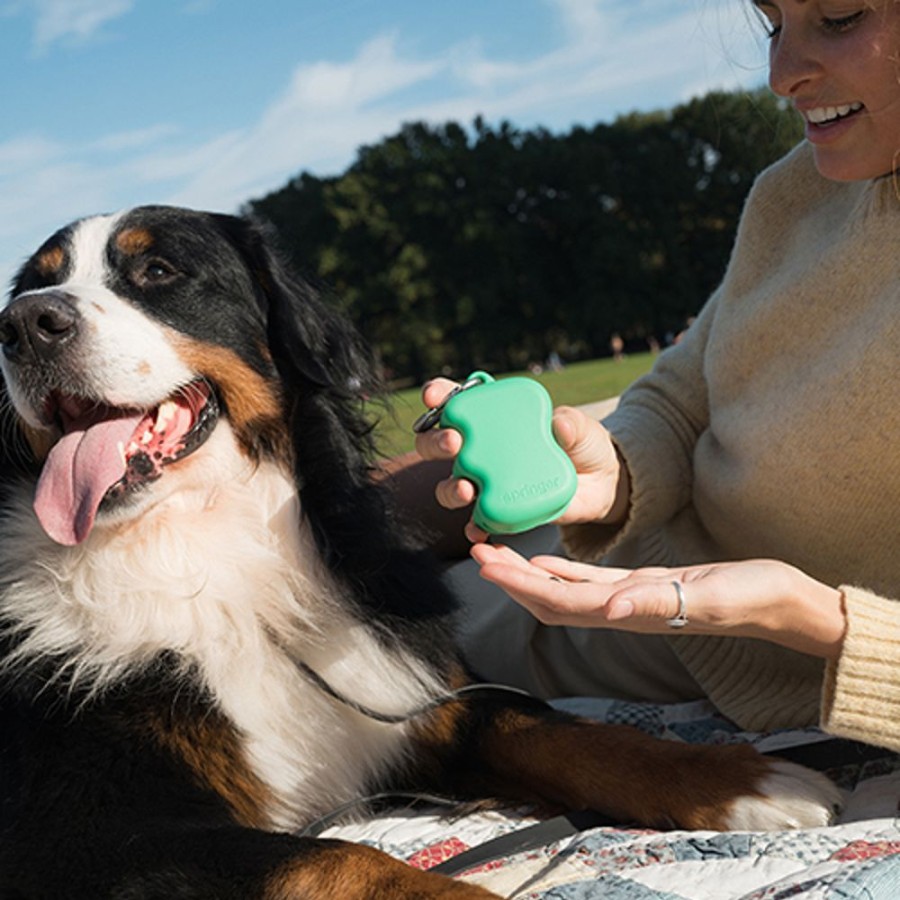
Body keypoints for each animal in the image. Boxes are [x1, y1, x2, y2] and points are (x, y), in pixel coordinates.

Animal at [0, 207, 840, 896]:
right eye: (35, 285)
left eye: (158, 272)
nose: (24, 324)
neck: (212, 561)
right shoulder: (82, 836)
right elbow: (343, 861)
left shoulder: (415, 697)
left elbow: (557, 731)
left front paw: (748, 779)